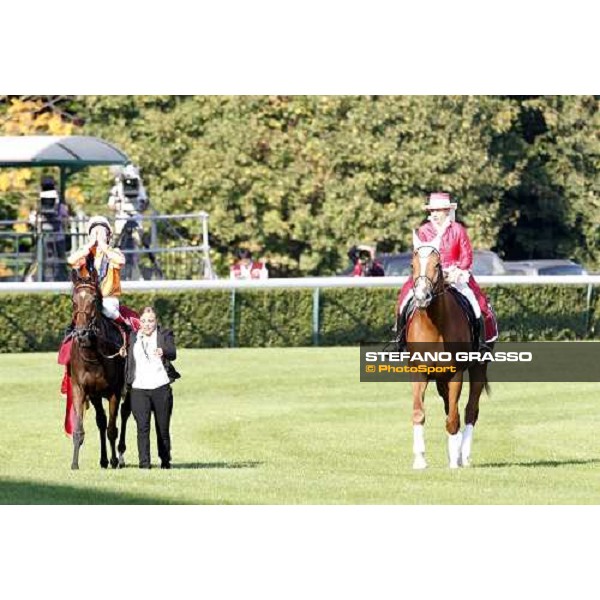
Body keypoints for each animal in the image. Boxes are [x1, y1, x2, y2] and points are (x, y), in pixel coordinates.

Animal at [69, 270, 132, 472]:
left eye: (94, 300)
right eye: (73, 300)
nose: (81, 334)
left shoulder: (114, 391)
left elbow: (112, 429)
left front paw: (114, 460)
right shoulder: (82, 389)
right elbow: (83, 428)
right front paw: (75, 463)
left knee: (125, 413)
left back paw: (119, 456)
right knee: (102, 421)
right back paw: (104, 460)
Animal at [398, 232, 492, 472]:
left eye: (437, 265)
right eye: (412, 265)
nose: (422, 296)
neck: (434, 326)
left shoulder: (455, 374)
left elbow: (454, 417)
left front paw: (454, 459)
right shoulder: (419, 372)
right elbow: (419, 412)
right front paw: (420, 459)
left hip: (478, 368)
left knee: (469, 410)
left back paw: (463, 455)